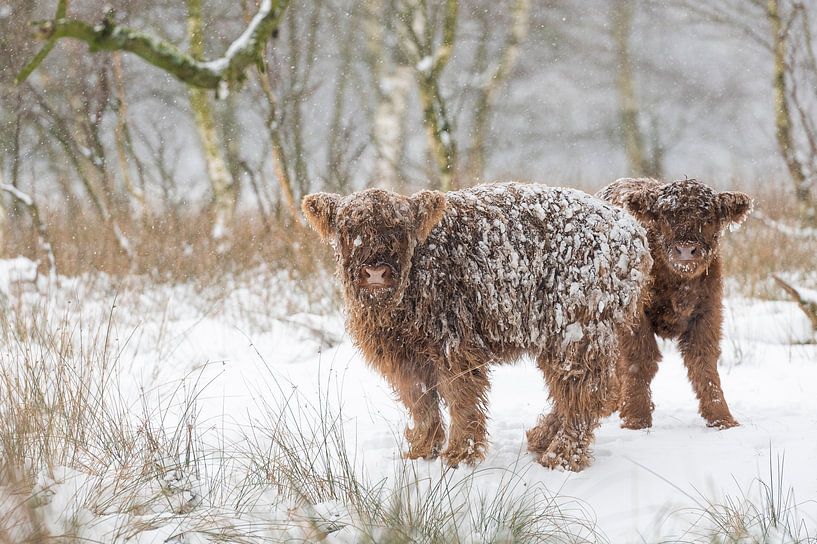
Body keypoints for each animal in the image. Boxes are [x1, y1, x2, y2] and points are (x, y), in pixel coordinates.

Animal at [300, 184, 652, 472]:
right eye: (349, 228)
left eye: (398, 228)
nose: (375, 271)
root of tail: (632, 230)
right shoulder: (402, 357)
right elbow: (421, 402)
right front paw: (421, 451)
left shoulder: (455, 347)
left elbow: (461, 400)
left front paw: (459, 455)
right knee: (577, 392)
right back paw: (541, 439)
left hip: (574, 330)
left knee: (585, 391)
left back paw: (562, 456)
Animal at [592, 178, 752, 430]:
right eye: (666, 217)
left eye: (708, 218)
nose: (685, 249)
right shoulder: (636, 317)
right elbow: (640, 360)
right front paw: (636, 419)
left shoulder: (708, 312)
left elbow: (703, 362)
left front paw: (721, 418)